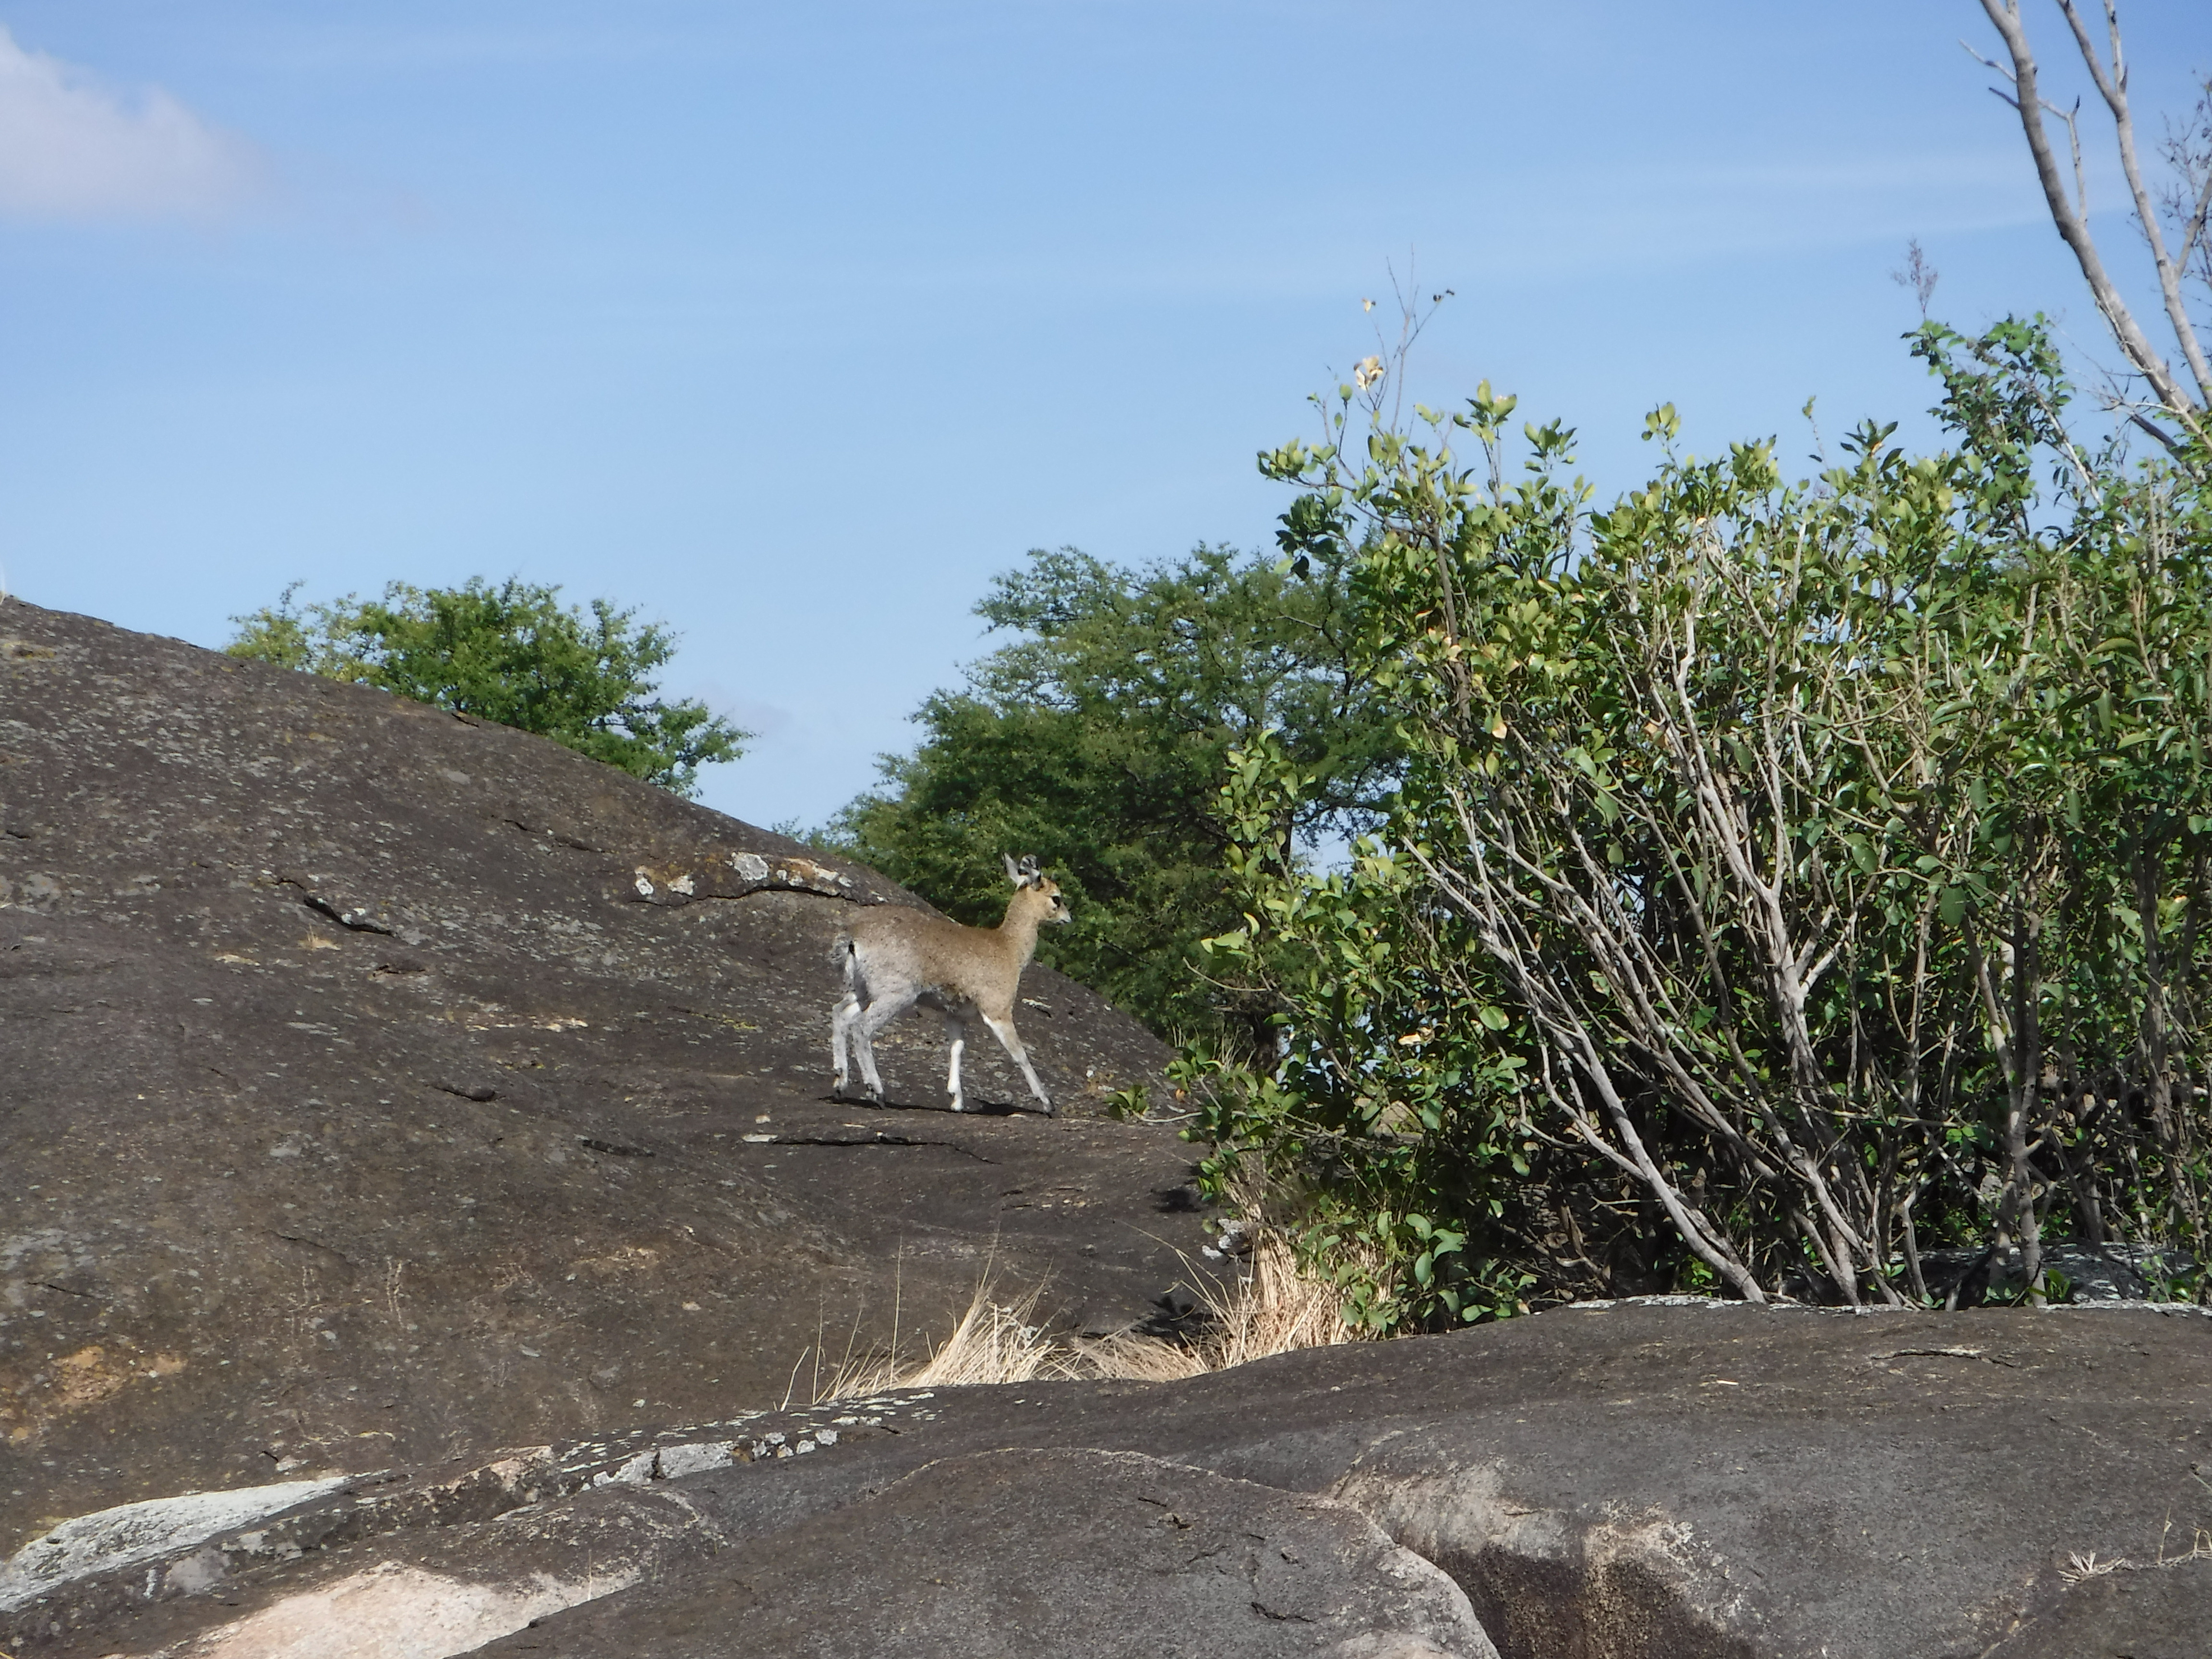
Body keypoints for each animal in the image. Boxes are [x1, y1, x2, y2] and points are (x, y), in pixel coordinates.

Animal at [830, 854, 1072, 1115]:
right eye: (1056, 897)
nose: (1068, 918)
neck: (1009, 948)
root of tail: (854, 936)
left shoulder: (956, 1015)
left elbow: (957, 1047)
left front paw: (956, 1100)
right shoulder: (998, 1011)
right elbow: (1019, 1053)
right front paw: (1047, 1102)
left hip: (860, 991)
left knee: (839, 1014)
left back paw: (840, 1084)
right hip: (894, 995)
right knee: (861, 1028)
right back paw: (877, 1092)